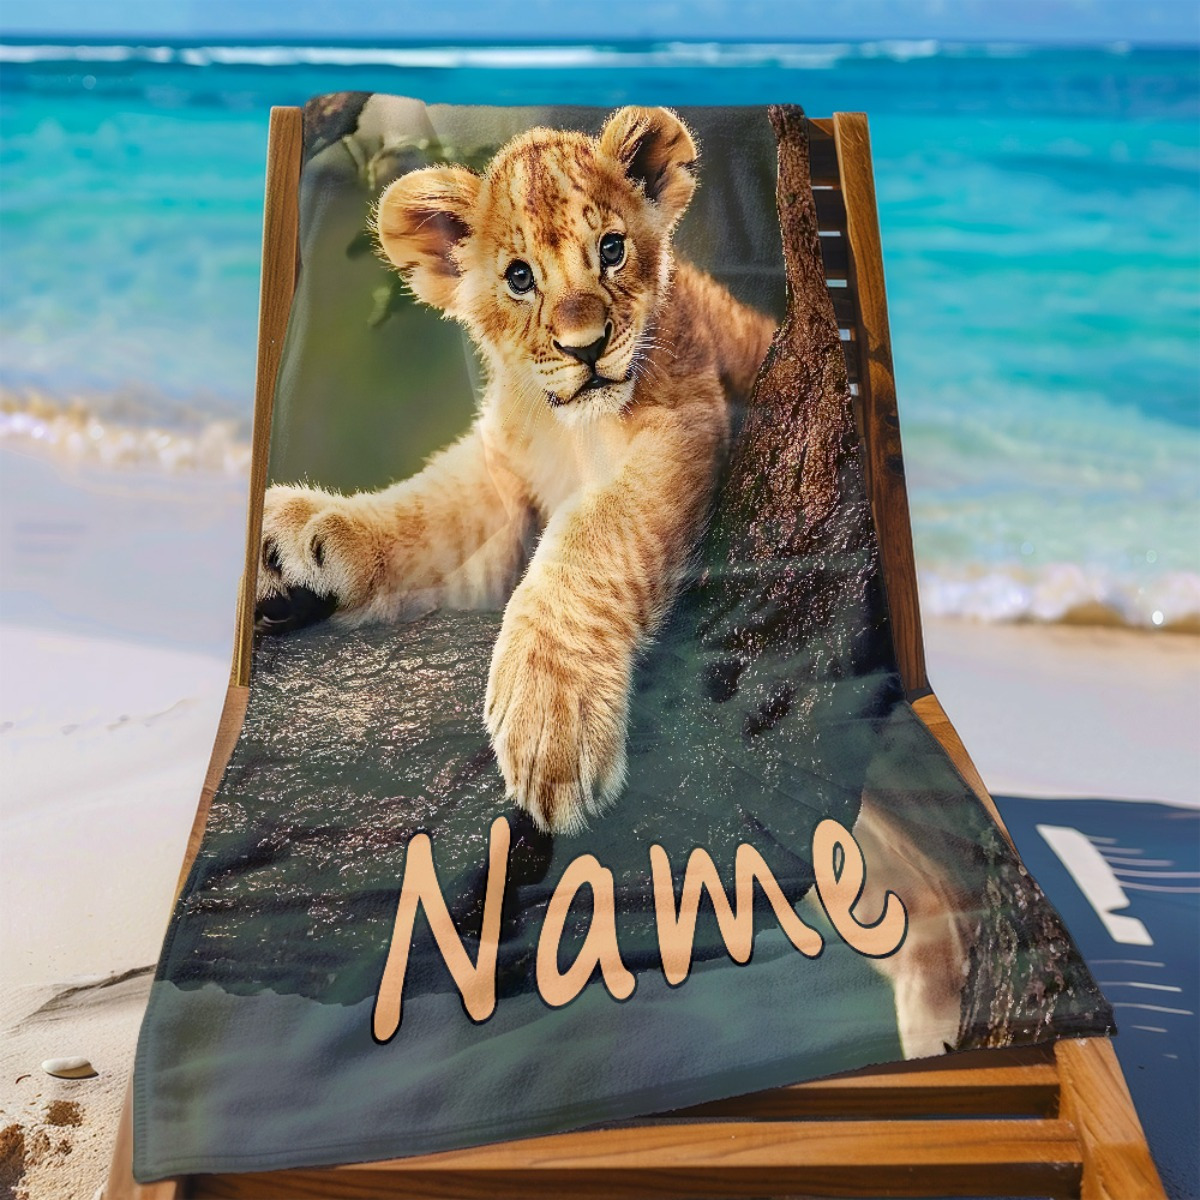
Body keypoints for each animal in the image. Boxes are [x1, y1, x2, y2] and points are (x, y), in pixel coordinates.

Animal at [256, 106, 777, 835]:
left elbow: (598, 533)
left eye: (611, 250)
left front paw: (550, 719)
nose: (584, 347)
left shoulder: (689, 424)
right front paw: (295, 542)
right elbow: (429, 510)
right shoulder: (499, 478)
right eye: (520, 278)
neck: (570, 429)